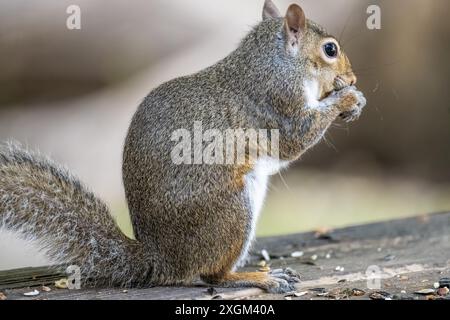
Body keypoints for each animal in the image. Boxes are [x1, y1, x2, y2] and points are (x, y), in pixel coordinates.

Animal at [0, 1, 366, 294]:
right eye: (330, 50)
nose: (353, 77)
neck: (274, 63)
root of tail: (161, 261)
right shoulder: (277, 103)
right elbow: (294, 139)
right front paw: (347, 98)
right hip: (231, 211)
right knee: (212, 275)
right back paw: (261, 277)